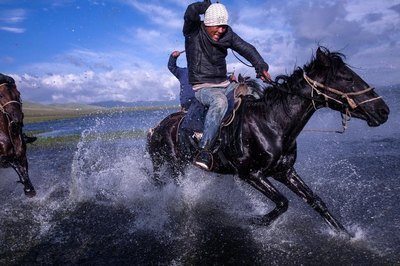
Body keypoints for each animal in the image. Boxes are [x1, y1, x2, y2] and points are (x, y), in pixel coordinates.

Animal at [147, 46, 388, 234]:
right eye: (347, 78)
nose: (383, 111)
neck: (270, 124)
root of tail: (157, 128)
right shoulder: (250, 174)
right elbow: (283, 202)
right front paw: (255, 221)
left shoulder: (285, 171)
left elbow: (316, 201)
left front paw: (347, 234)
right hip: (170, 164)